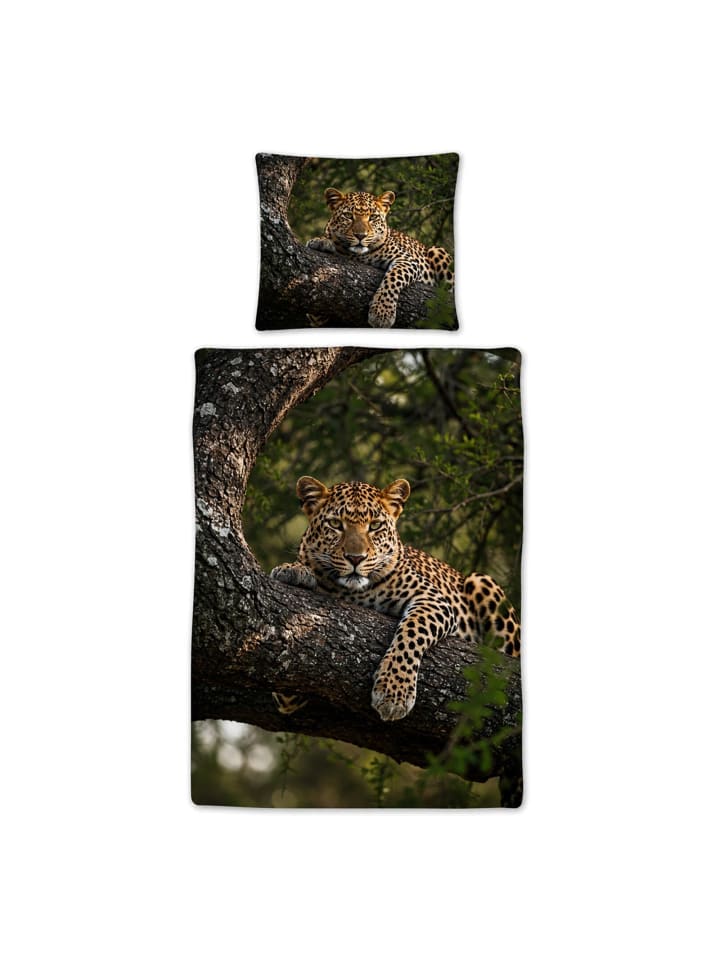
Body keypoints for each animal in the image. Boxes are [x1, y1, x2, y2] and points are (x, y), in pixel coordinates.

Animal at [270, 476, 520, 722]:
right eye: (335, 524)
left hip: (483, 582)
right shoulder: (290, 691)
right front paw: (295, 571)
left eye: (375, 526)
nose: (355, 558)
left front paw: (394, 692)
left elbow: (412, 632)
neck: (352, 592)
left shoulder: (434, 600)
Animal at [307, 188, 454, 328]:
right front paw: (321, 242)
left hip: (438, 252)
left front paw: (382, 313)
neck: (355, 255)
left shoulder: (408, 260)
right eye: (348, 216)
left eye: (372, 217)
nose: (361, 235)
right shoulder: (317, 319)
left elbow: (394, 278)